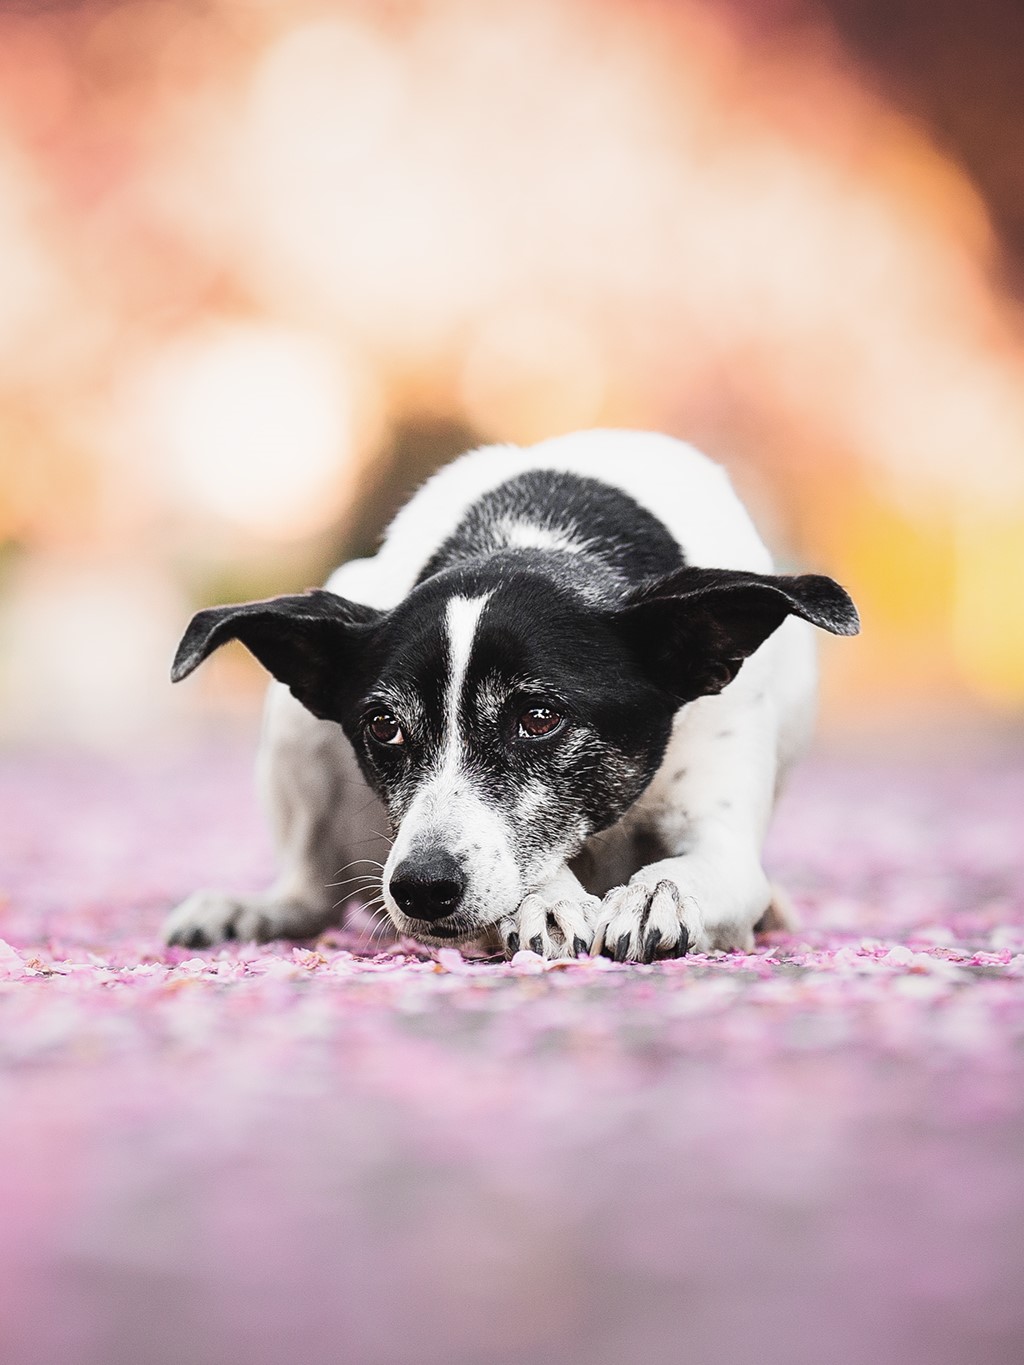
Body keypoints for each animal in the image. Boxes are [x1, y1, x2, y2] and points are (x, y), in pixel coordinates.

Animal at [166, 431, 857, 966]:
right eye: (384, 726)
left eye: (540, 717)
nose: (421, 887)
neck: (535, 536)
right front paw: (547, 901)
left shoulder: (722, 825)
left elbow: (699, 867)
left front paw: (658, 893)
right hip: (293, 727)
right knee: (311, 890)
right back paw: (252, 910)